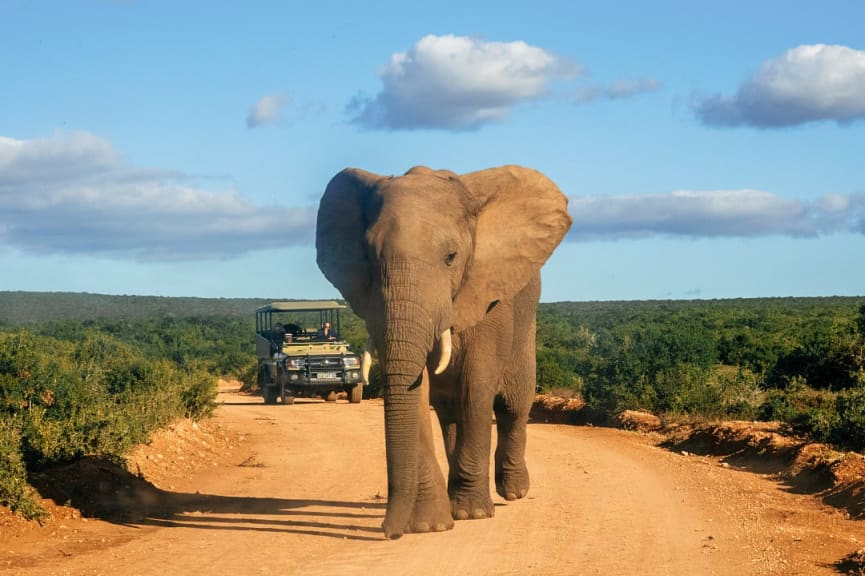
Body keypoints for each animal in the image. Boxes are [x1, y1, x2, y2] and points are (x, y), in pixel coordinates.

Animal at [314, 164, 572, 536]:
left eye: (451, 258)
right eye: (370, 258)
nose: (389, 531)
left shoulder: (487, 295)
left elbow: (476, 389)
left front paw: (471, 514)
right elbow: (417, 392)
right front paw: (429, 525)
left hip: (526, 321)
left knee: (513, 404)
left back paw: (513, 492)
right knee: (449, 412)